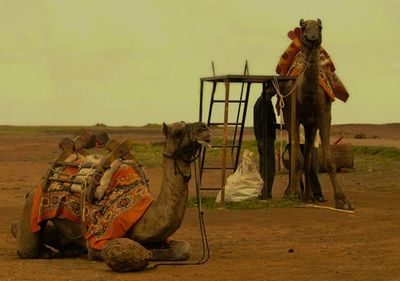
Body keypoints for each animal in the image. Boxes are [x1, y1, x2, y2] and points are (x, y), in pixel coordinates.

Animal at [10, 121, 211, 270]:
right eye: (178, 131)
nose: (204, 128)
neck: (143, 212)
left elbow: (184, 249)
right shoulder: (98, 238)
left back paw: (68, 250)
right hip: (32, 201)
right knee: (26, 245)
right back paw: (47, 252)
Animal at [278, 19, 354, 208]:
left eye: (319, 27)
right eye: (304, 27)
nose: (312, 37)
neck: (307, 93)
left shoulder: (324, 115)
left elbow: (329, 159)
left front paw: (342, 201)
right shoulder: (292, 115)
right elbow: (296, 157)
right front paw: (293, 194)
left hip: (311, 126)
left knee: (307, 159)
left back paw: (309, 196)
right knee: (296, 154)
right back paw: (291, 192)